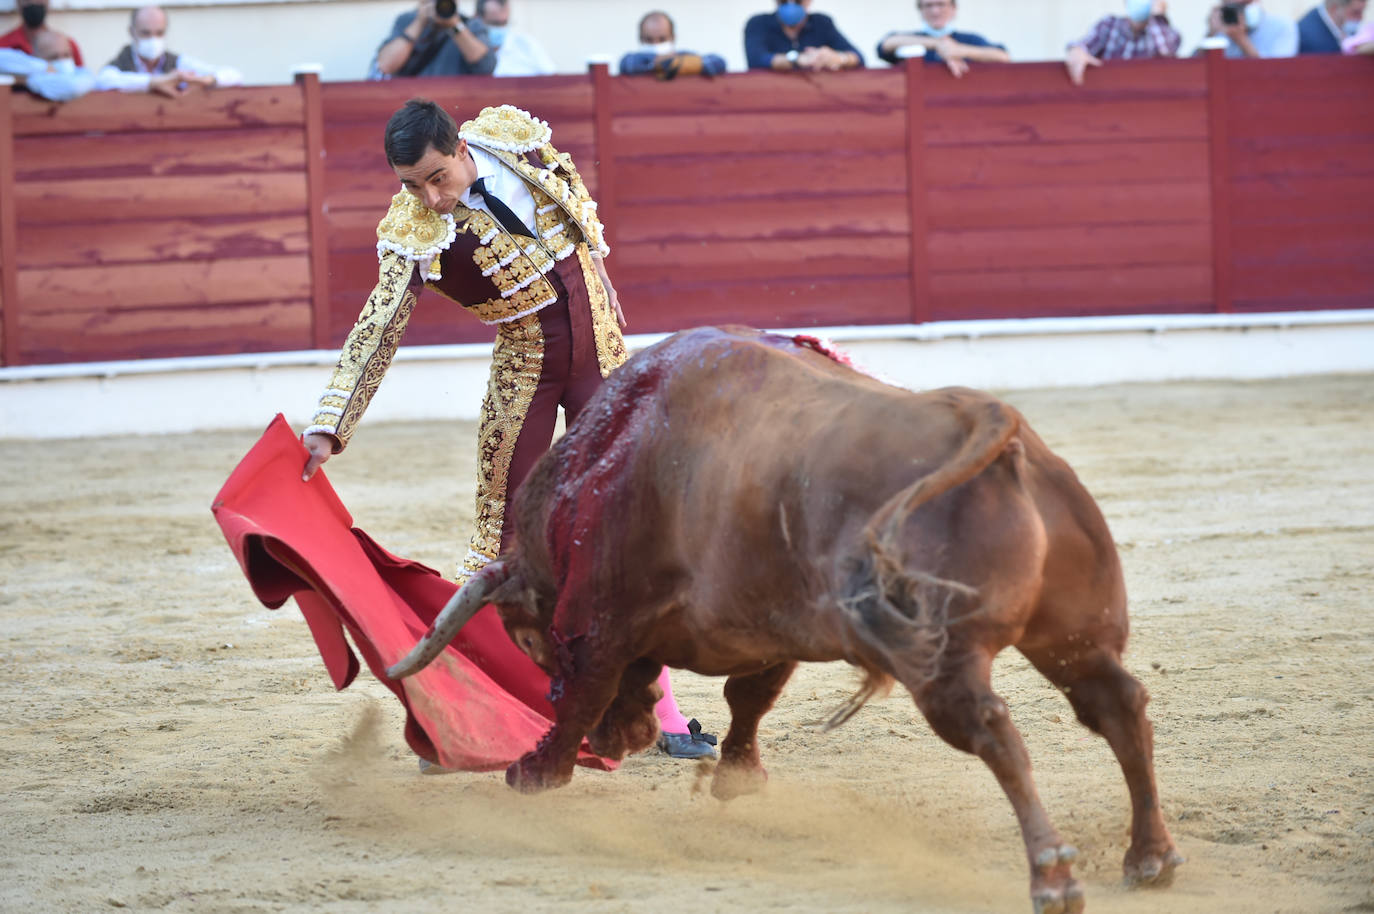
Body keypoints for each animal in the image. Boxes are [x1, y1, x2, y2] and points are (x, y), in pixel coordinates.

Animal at [387, 324, 1181, 907]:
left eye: (527, 639)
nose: (628, 737)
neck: (599, 462)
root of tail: (992, 422)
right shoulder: (768, 626)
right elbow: (750, 697)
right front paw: (739, 777)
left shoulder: (598, 618)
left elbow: (583, 690)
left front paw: (534, 771)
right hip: (1072, 634)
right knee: (1118, 704)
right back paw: (1149, 858)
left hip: (941, 661)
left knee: (996, 729)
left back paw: (1053, 876)